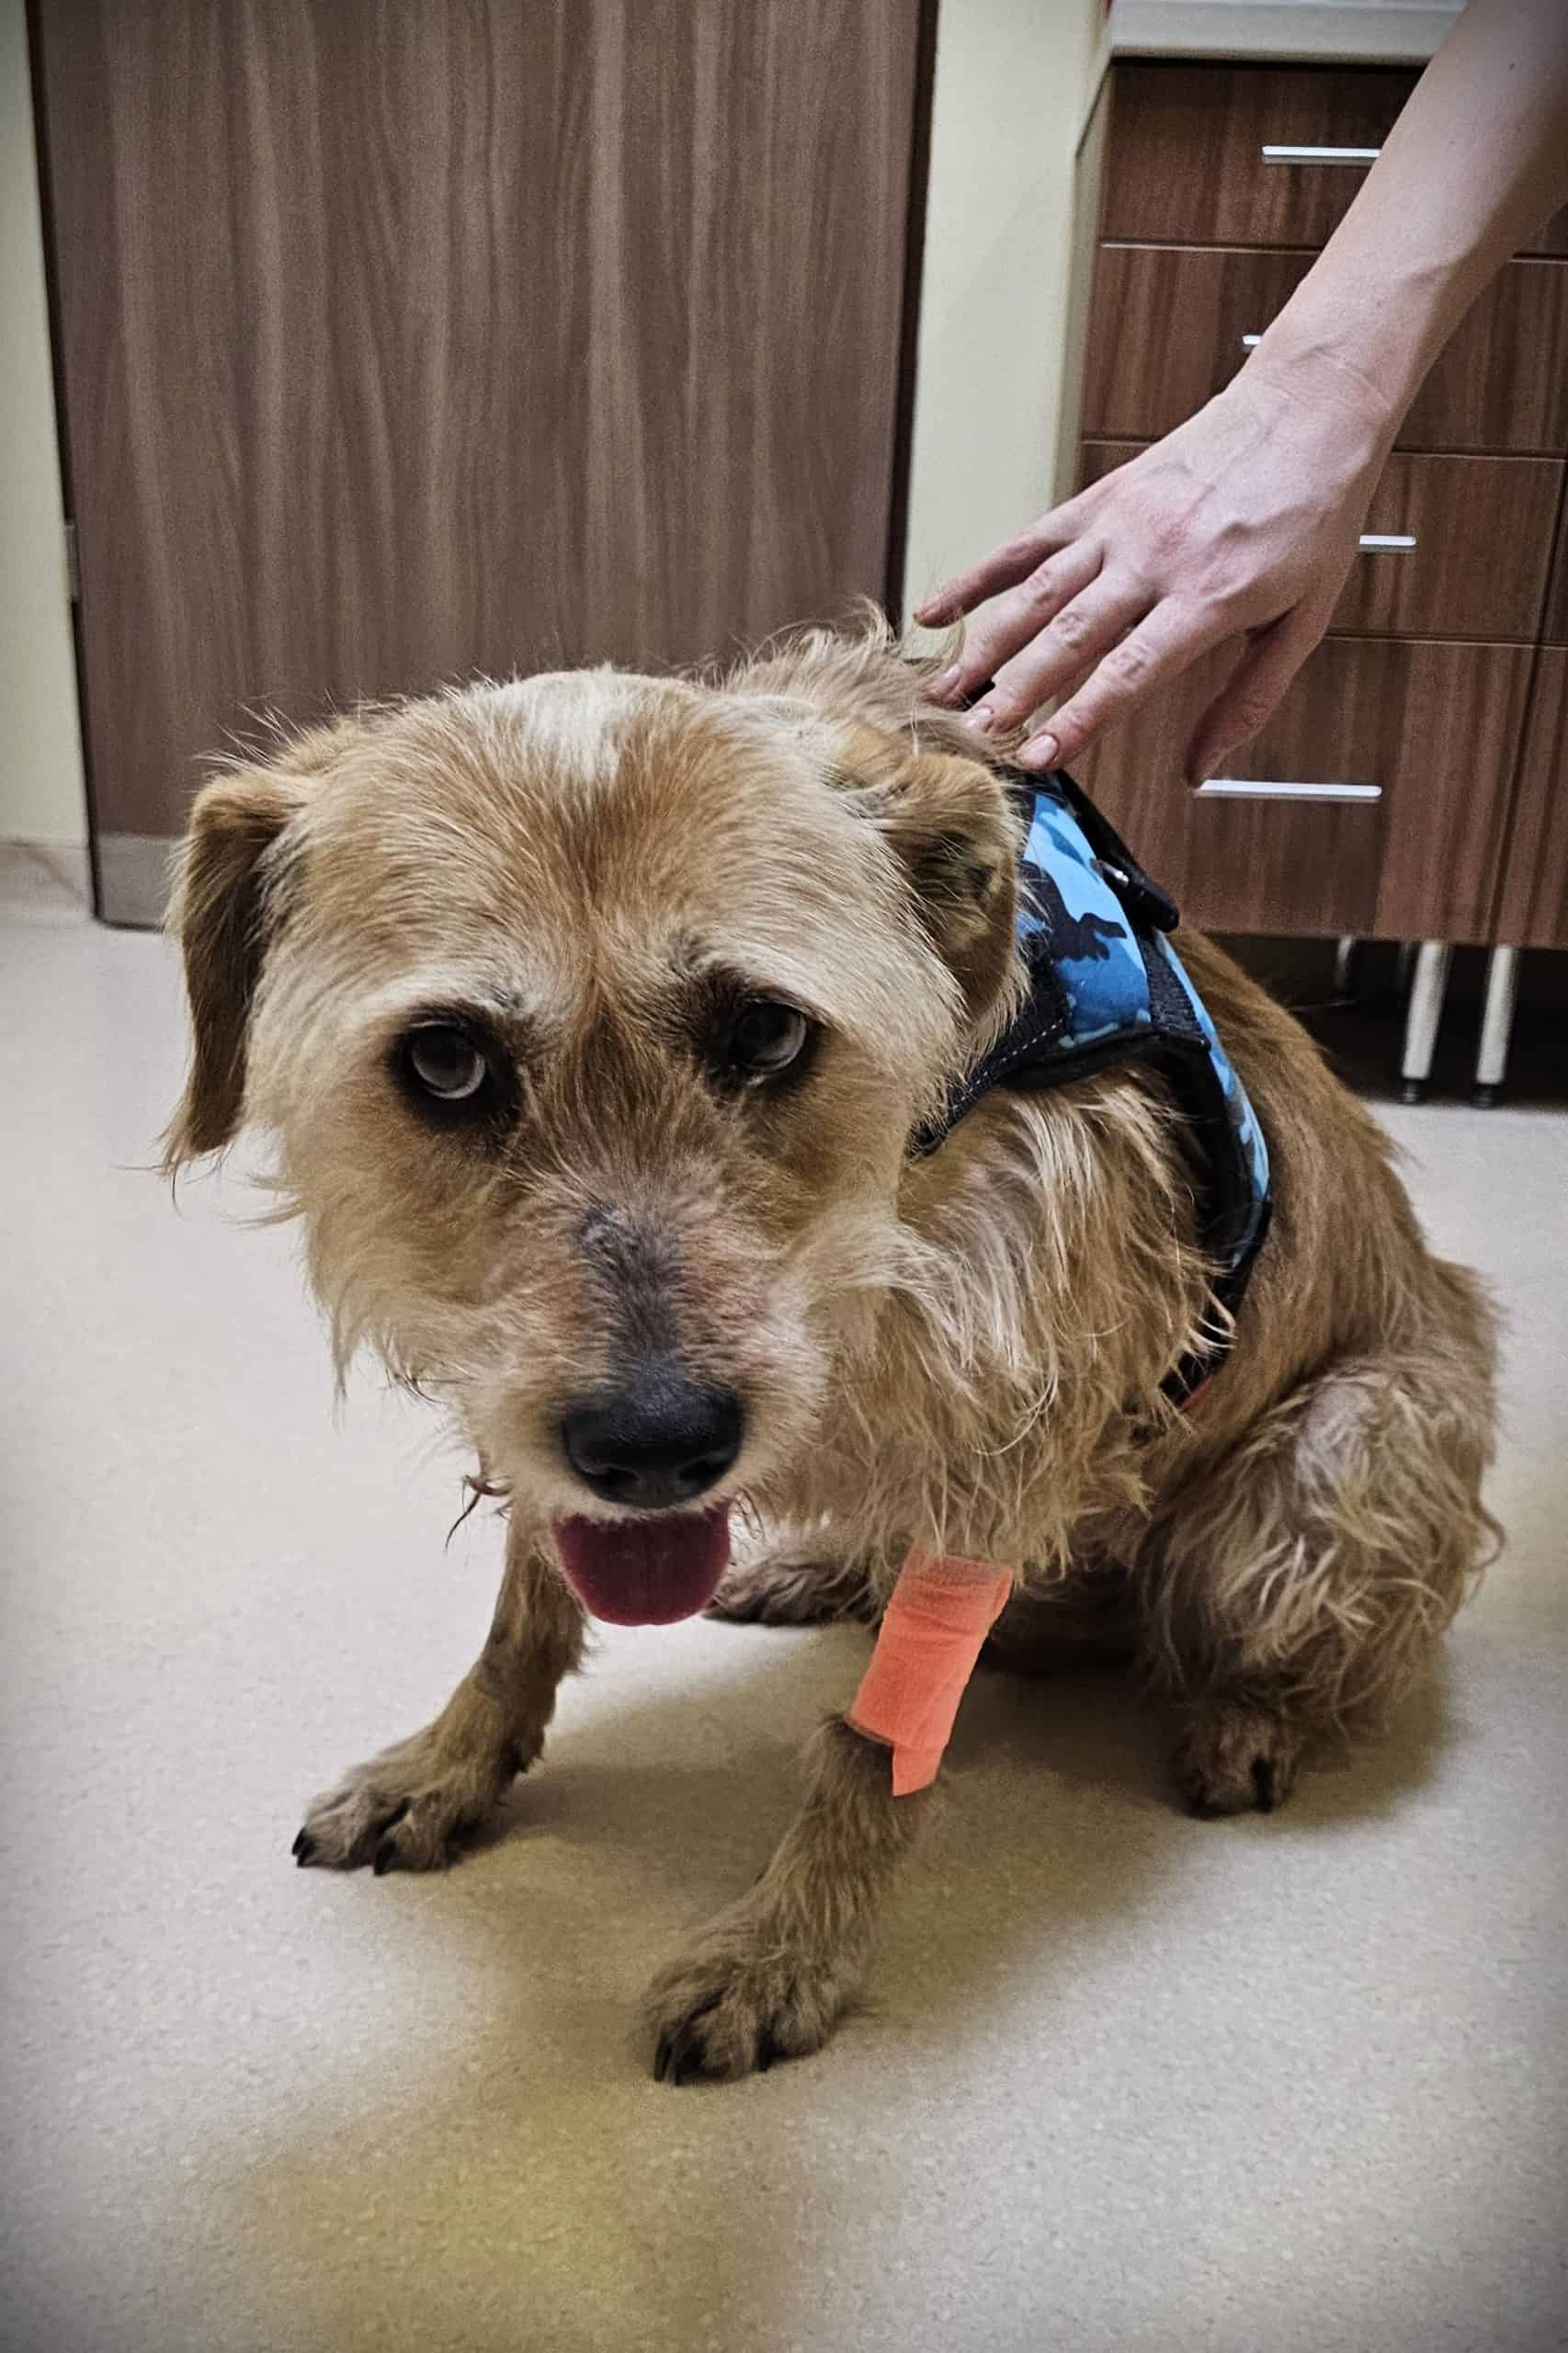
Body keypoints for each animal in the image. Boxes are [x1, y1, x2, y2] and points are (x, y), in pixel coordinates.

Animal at [164, 619, 1499, 2082]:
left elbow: (879, 1737)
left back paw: (1244, 1714)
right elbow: (524, 1608)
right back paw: (827, 1570)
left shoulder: (1001, 1443)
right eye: (444, 1062)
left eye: (767, 1032)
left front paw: (789, 1948)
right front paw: (445, 1769)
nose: (657, 1449)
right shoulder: (543, 1411)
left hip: (1337, 1455)